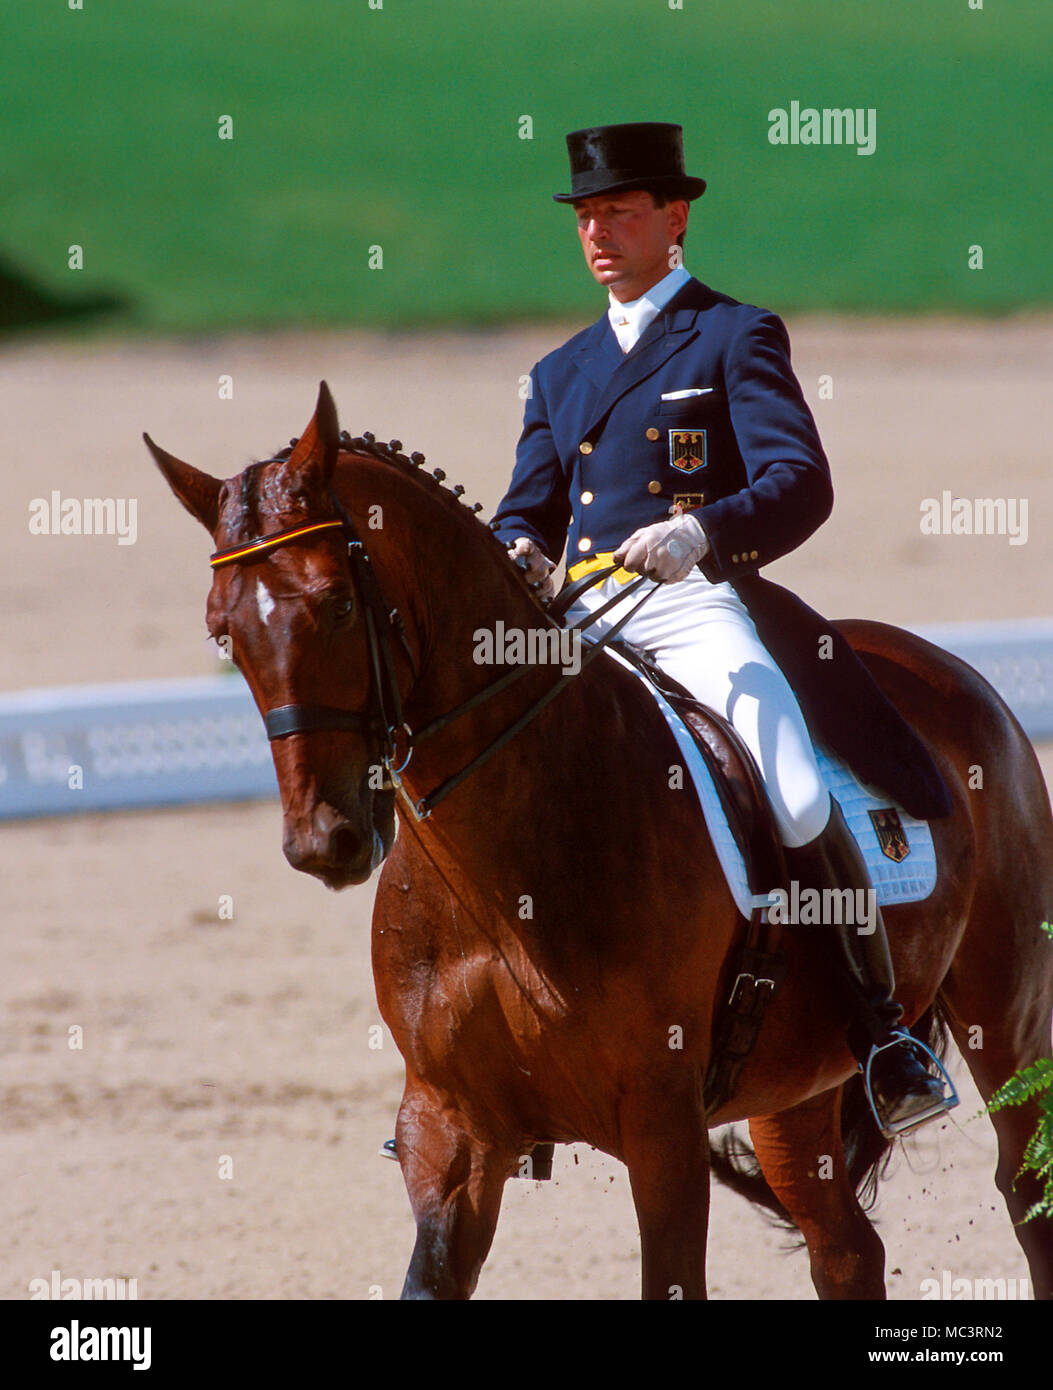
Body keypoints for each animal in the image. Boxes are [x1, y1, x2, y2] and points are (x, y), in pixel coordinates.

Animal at [146, 383, 1053, 1301]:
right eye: (222, 631)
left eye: (336, 603)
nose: (322, 841)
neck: (505, 875)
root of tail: (946, 669)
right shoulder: (447, 1129)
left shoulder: (661, 1129)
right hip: (796, 1086)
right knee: (845, 1248)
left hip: (1004, 1018)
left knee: (1025, 1197)